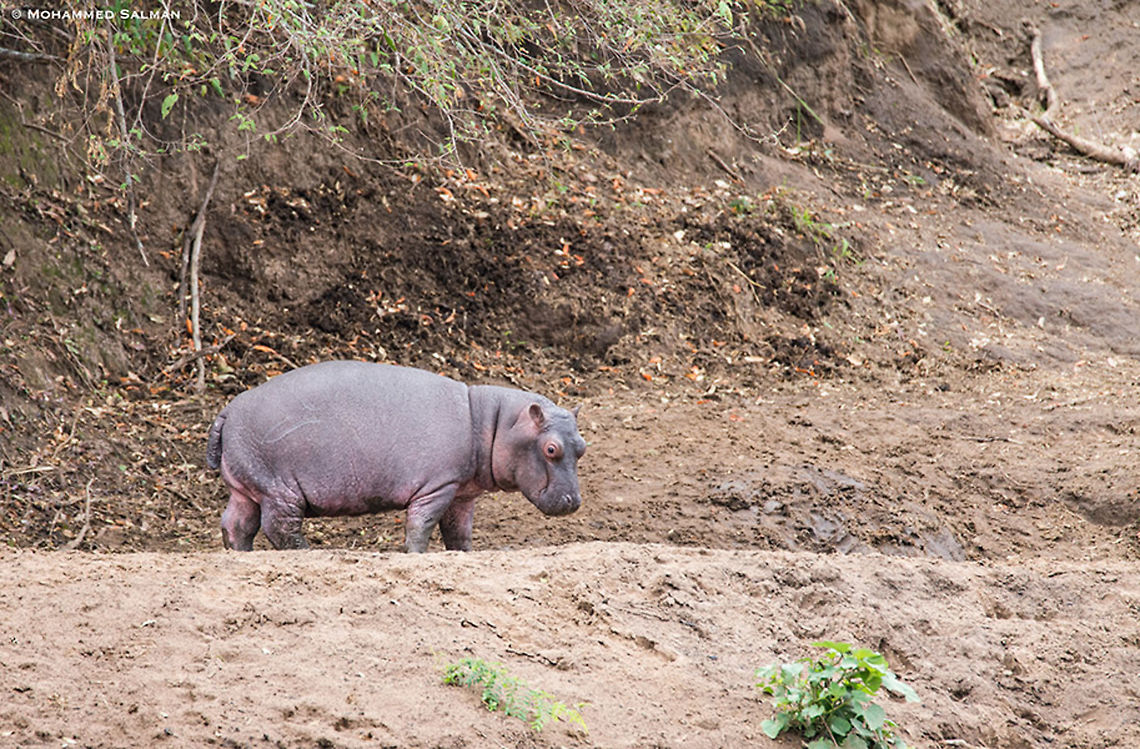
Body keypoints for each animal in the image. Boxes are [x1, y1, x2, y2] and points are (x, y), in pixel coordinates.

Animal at [205, 360, 586, 552]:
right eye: (551, 448)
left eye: (583, 445)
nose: (573, 502)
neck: (492, 421)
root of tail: (228, 409)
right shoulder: (437, 486)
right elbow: (421, 525)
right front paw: (416, 554)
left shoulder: (463, 493)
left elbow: (459, 532)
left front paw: (463, 555)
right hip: (279, 489)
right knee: (278, 526)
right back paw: (306, 550)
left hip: (247, 486)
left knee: (236, 525)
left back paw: (240, 554)